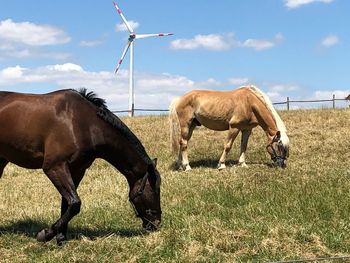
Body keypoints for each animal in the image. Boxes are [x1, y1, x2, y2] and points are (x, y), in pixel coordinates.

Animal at [0, 88, 161, 245]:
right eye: (151, 190)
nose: (156, 223)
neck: (84, 124)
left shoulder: (77, 170)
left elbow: (67, 204)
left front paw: (61, 237)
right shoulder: (54, 167)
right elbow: (75, 203)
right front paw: (45, 234)